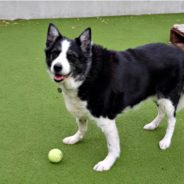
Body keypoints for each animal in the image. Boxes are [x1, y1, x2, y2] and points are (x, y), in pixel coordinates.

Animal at [44, 23, 184, 172]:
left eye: (72, 56)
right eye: (55, 53)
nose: (57, 67)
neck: (87, 73)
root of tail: (179, 52)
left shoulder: (107, 119)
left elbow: (112, 146)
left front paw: (107, 163)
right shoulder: (81, 109)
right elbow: (82, 127)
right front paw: (75, 139)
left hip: (169, 97)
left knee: (172, 120)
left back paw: (166, 141)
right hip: (156, 94)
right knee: (161, 111)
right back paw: (153, 125)